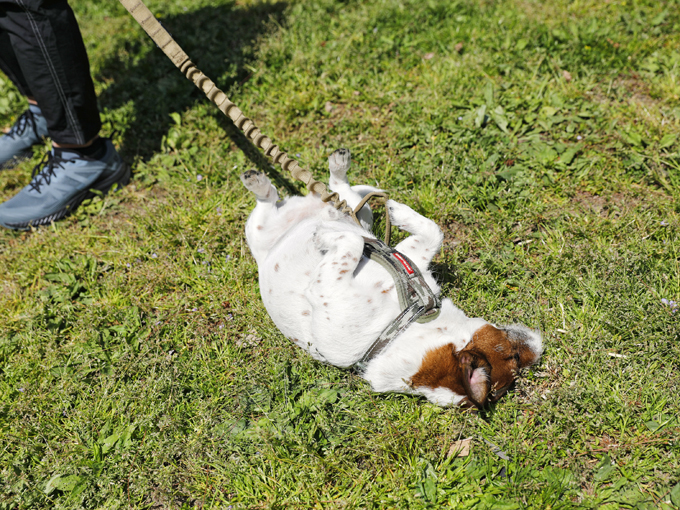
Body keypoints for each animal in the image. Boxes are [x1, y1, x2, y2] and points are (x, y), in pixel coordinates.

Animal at [239, 149, 540, 408]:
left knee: (284, 197)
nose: (541, 344)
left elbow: (352, 243)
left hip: (262, 227)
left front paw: (325, 234)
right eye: (514, 355)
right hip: (351, 213)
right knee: (337, 194)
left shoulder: (326, 289)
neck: (398, 324)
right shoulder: (410, 256)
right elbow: (433, 230)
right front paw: (397, 210)